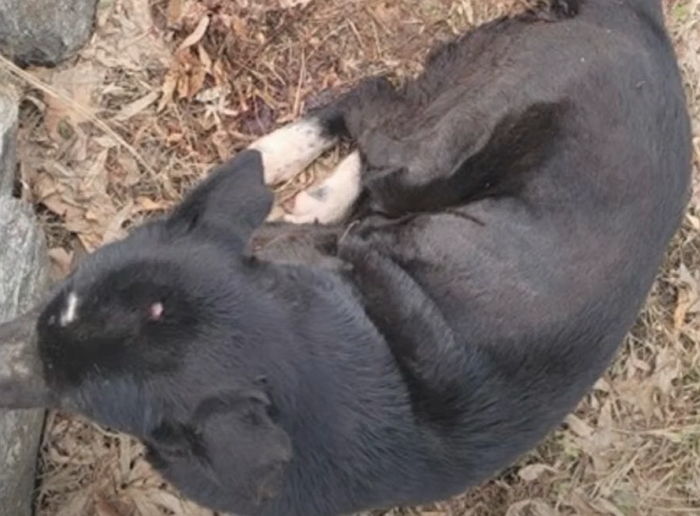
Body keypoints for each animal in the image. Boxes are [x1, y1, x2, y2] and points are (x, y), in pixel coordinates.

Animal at [0, 1, 692, 516]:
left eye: (73, 392)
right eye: (57, 297)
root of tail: (642, 22)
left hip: (434, 152)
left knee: (372, 106)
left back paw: (293, 165)